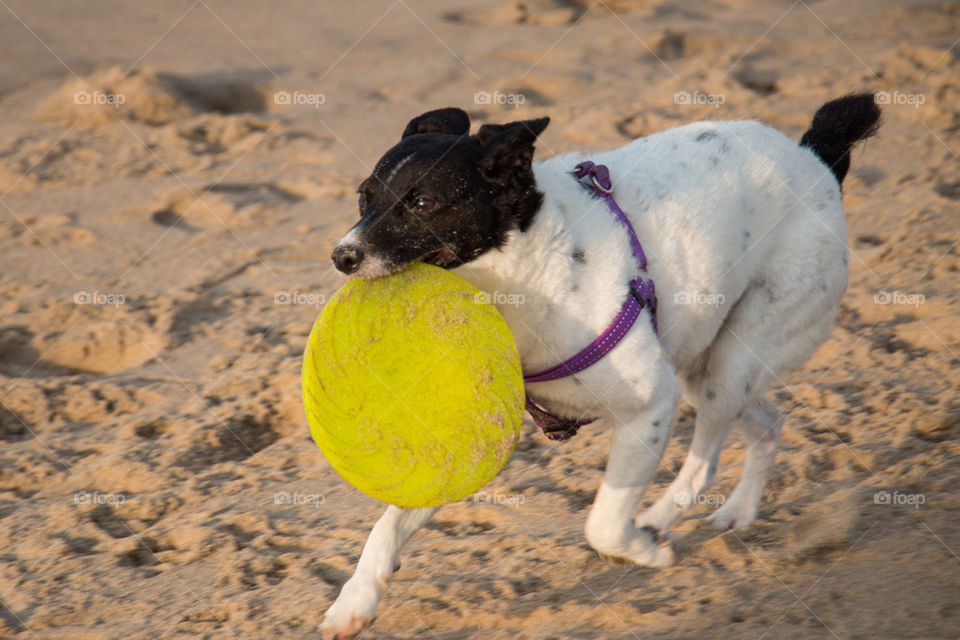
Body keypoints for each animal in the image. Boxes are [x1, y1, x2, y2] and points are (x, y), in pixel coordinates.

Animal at [320, 92, 876, 636]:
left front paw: (641, 549)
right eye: (365, 196)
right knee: (768, 423)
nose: (342, 256)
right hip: (705, 360)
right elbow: (388, 524)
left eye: (423, 203)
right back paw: (738, 513)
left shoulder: (650, 407)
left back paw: (655, 524)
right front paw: (356, 601)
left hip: (734, 358)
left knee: (706, 460)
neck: (523, 276)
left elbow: (603, 523)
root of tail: (814, 156)